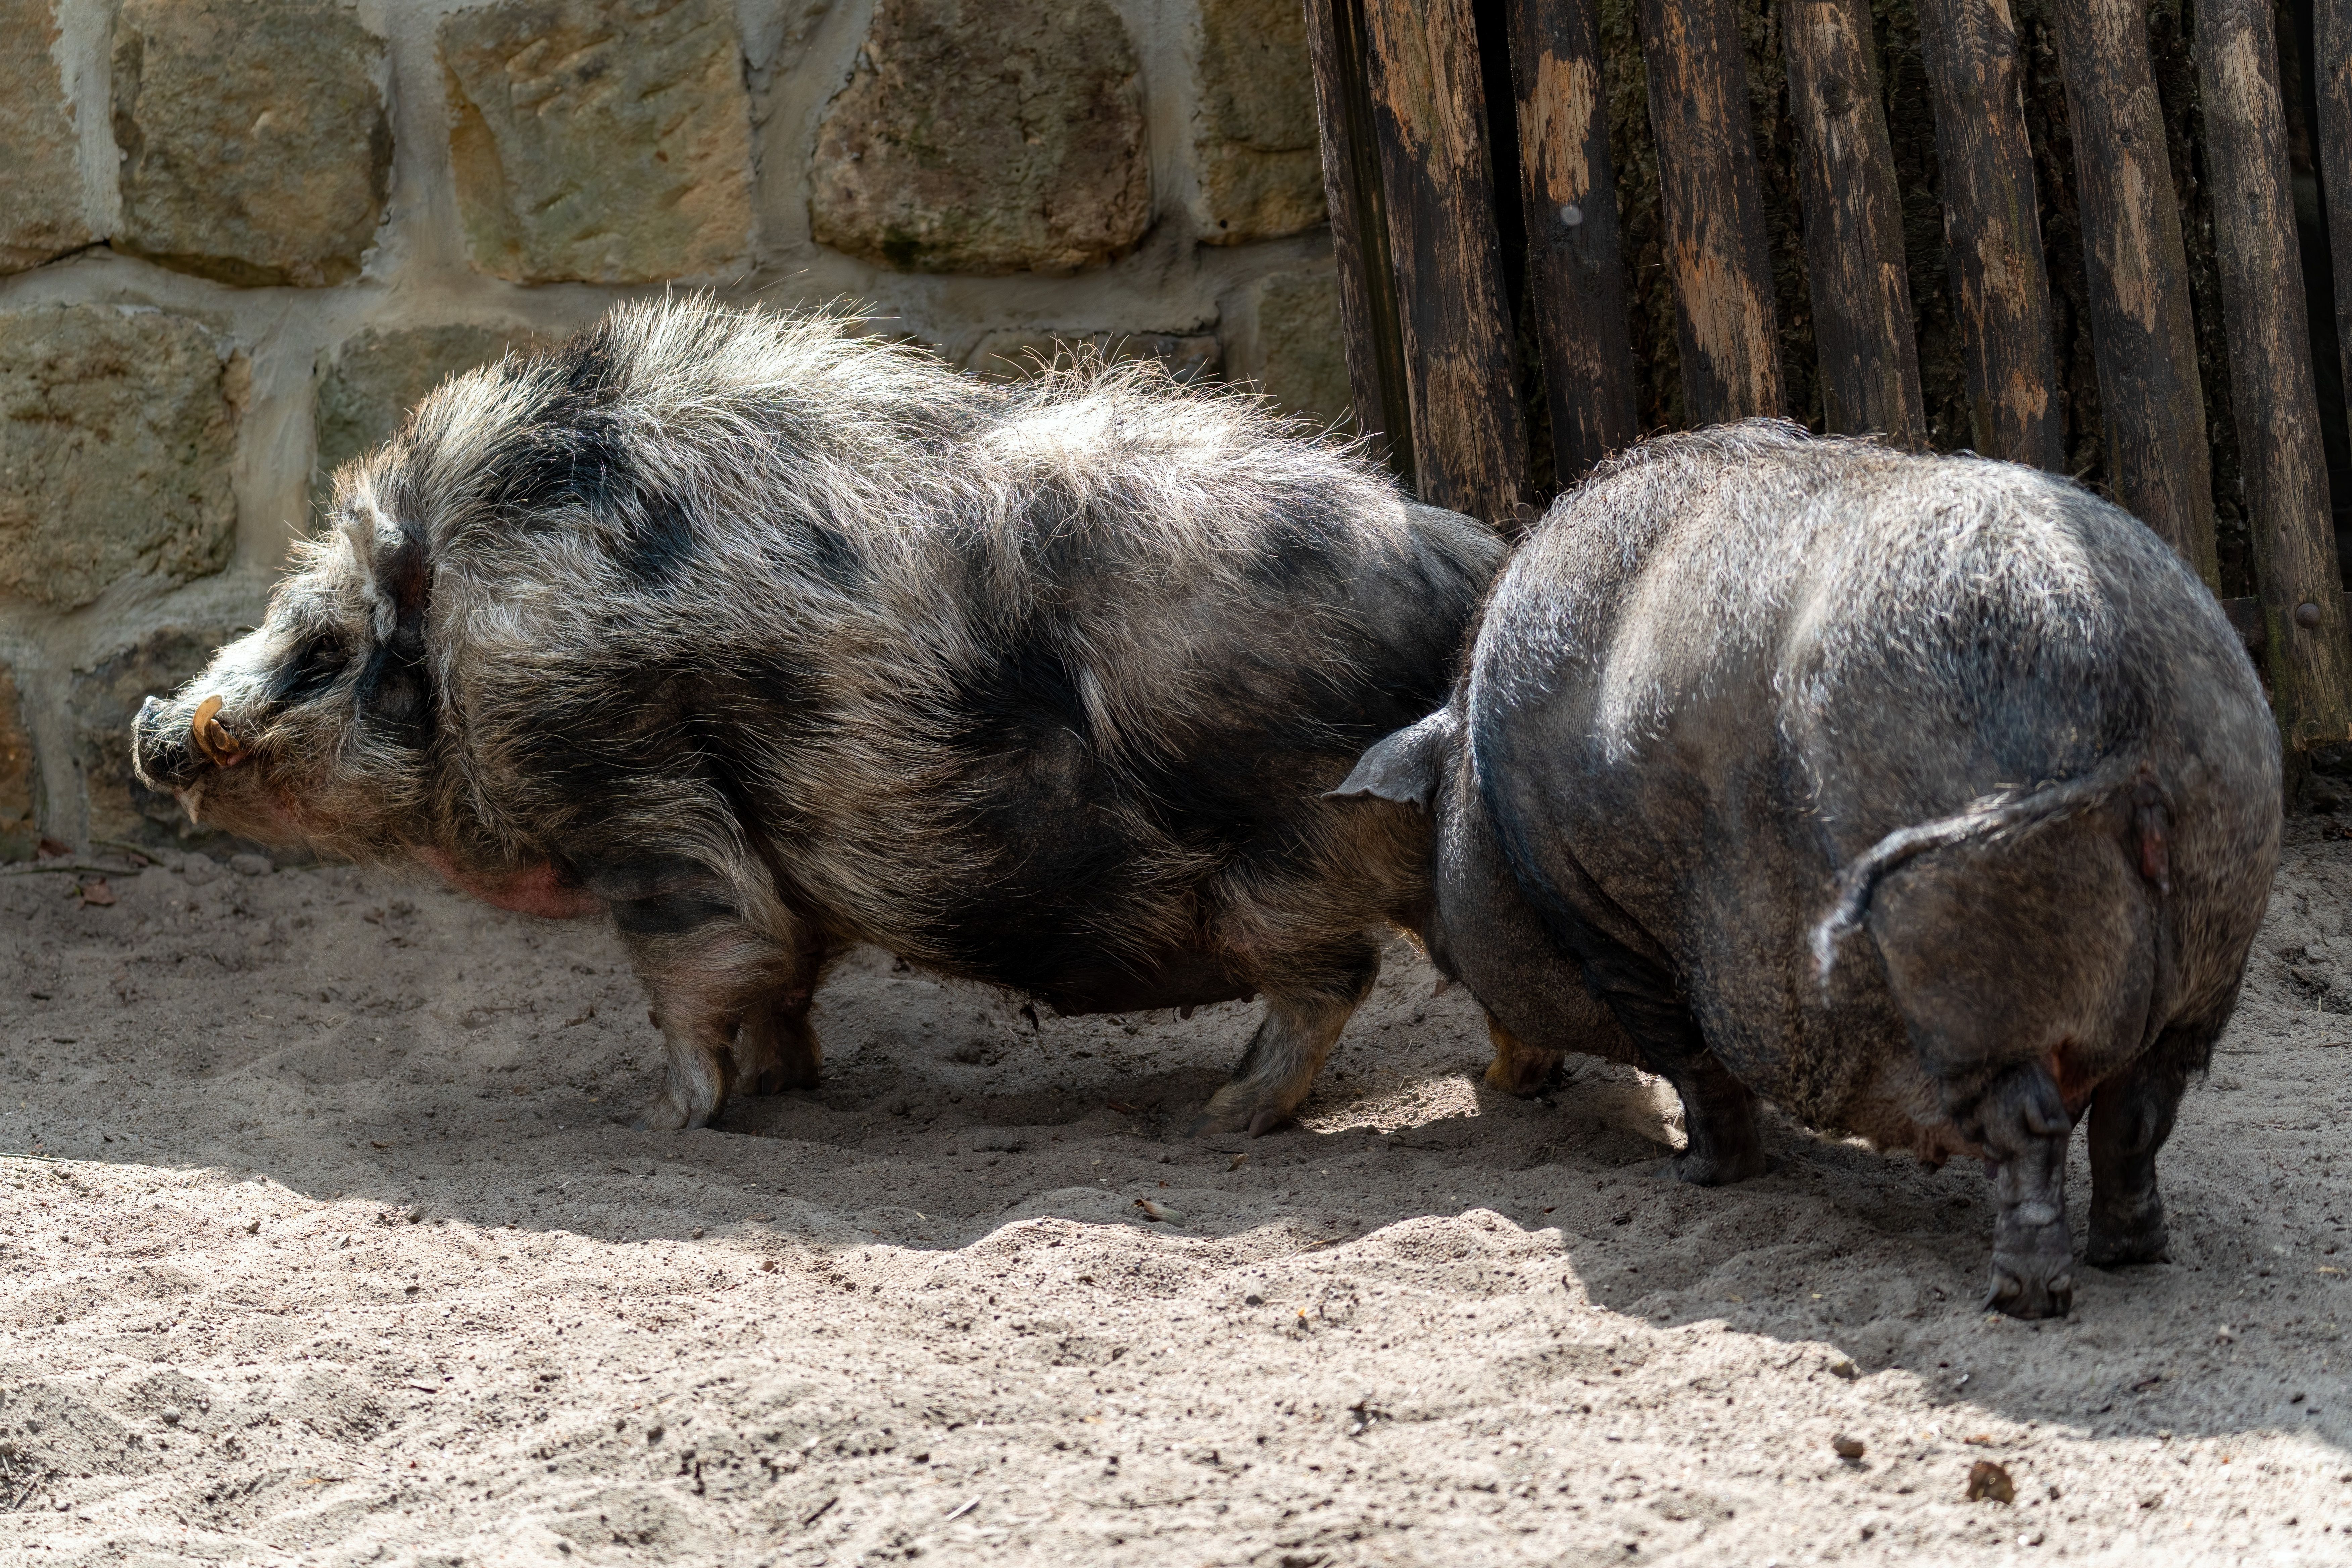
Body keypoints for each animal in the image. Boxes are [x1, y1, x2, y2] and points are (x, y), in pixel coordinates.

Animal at [131, 295, 1505, 1135]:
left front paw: (666, 1116)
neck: (482, 625)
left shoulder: (627, 788)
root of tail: (1466, 568)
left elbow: (704, 960)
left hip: (1288, 855)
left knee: (1339, 973)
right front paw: (790, 1087)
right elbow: (784, 969)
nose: (152, 730)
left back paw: (1223, 1114)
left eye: (321, 650)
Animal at [1334, 422, 2281, 1318]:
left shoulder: (1603, 920)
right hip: (2217, 916)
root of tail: (2121, 694)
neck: (1490, 802)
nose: (1495, 1079)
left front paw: (1695, 1175)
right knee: (2140, 1114)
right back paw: (2131, 1253)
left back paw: (2020, 1298)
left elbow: (1693, 1063)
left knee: (2033, 1123)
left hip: (1975, 957)